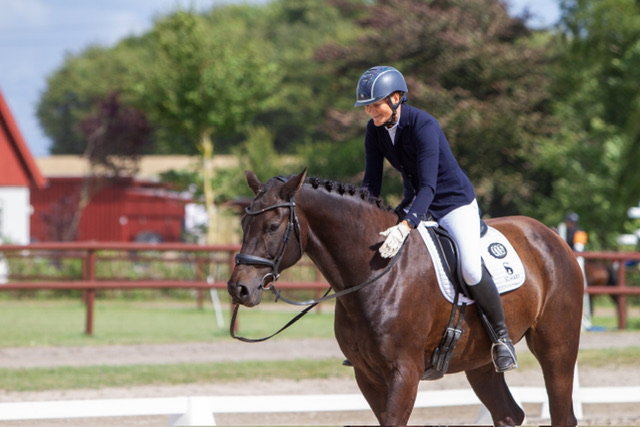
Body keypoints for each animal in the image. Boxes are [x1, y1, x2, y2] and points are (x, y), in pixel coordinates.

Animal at [226, 169, 584, 426]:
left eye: (273, 226)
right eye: (243, 222)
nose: (238, 288)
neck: (377, 272)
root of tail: (552, 237)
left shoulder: (405, 372)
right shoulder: (366, 374)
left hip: (557, 348)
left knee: (562, 414)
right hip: (479, 363)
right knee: (508, 414)